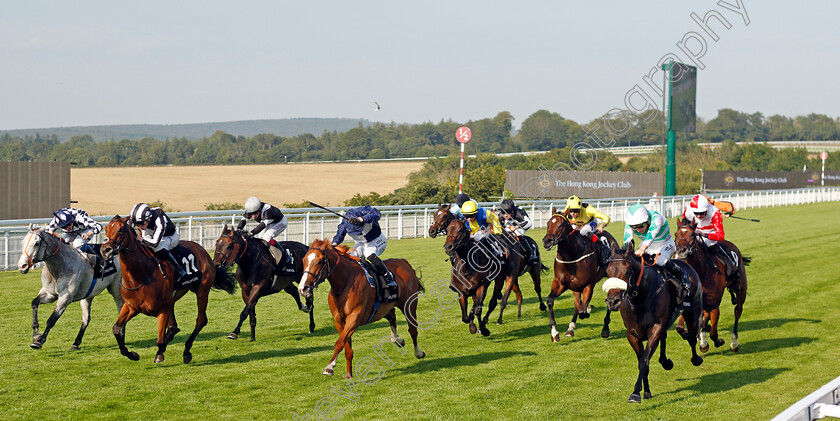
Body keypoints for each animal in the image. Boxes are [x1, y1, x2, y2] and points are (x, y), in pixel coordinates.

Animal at [100, 215, 235, 362]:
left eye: (121, 229)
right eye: (106, 229)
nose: (105, 250)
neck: (141, 275)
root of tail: (202, 250)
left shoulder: (162, 310)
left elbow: (159, 341)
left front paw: (159, 353)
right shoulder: (131, 306)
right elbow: (116, 329)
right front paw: (133, 354)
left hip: (202, 292)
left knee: (200, 321)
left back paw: (186, 351)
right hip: (172, 300)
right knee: (174, 327)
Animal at [296, 240, 426, 378]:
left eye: (320, 261)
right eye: (304, 260)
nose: (303, 288)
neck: (344, 284)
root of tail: (405, 263)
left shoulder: (354, 318)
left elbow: (339, 343)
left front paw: (329, 367)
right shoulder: (339, 321)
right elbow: (346, 346)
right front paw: (349, 374)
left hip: (409, 305)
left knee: (413, 330)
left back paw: (418, 352)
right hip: (384, 308)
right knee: (392, 317)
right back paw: (397, 340)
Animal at [540, 208, 620, 340]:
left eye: (561, 225)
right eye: (548, 223)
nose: (547, 241)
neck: (572, 255)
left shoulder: (588, 285)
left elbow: (583, 311)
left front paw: (588, 309)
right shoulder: (561, 283)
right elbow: (550, 301)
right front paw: (554, 332)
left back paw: (605, 328)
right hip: (575, 287)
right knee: (577, 304)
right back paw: (571, 328)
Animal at [600, 240, 704, 400]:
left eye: (627, 272)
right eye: (608, 272)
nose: (613, 302)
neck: (641, 297)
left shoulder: (655, 329)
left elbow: (644, 361)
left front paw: (635, 393)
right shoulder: (632, 334)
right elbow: (642, 360)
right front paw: (646, 391)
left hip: (692, 313)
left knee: (692, 337)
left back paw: (696, 359)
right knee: (666, 337)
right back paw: (665, 362)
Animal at [672, 223, 752, 352]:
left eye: (692, 234)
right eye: (676, 234)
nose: (681, 251)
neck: (701, 272)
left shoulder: (714, 303)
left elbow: (713, 333)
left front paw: (715, 340)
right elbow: (680, 328)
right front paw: (695, 335)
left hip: (741, 289)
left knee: (737, 311)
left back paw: (734, 342)